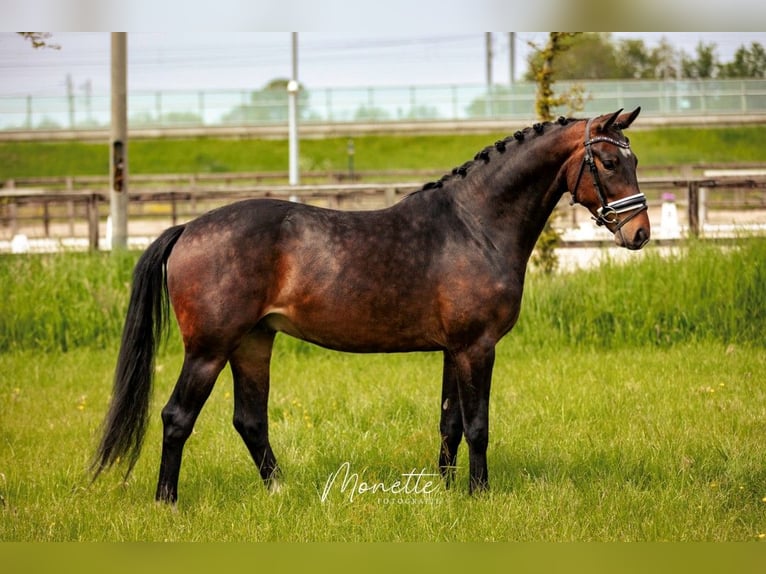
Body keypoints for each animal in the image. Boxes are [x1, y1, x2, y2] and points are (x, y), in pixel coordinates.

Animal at [93, 108, 652, 504]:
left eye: (633, 160)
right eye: (608, 162)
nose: (640, 233)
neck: (475, 224)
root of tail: (189, 227)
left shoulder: (453, 350)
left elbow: (450, 423)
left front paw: (446, 492)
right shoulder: (477, 347)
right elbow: (478, 425)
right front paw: (480, 495)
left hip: (253, 343)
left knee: (249, 420)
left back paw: (282, 492)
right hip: (209, 349)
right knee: (177, 417)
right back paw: (167, 501)